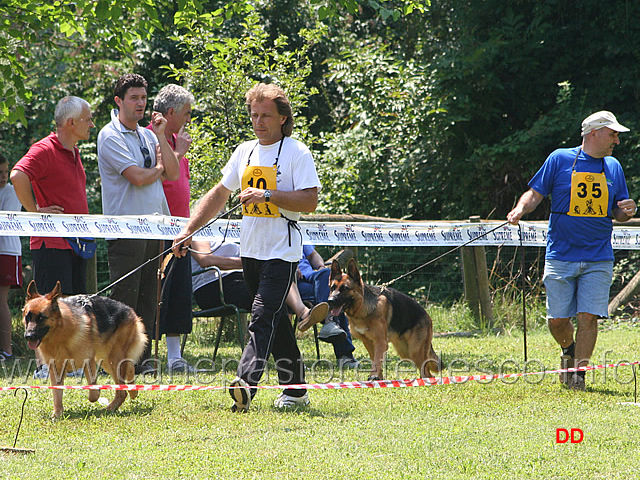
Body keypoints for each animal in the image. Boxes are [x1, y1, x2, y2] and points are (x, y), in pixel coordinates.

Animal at [23, 280, 147, 418]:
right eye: (27, 317)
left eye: (41, 318)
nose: (28, 336)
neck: (61, 334)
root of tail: (129, 309)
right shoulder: (55, 370)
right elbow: (57, 394)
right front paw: (57, 413)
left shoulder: (88, 362)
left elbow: (94, 393)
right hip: (106, 361)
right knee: (129, 369)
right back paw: (131, 393)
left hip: (113, 360)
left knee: (122, 389)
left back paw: (110, 407)